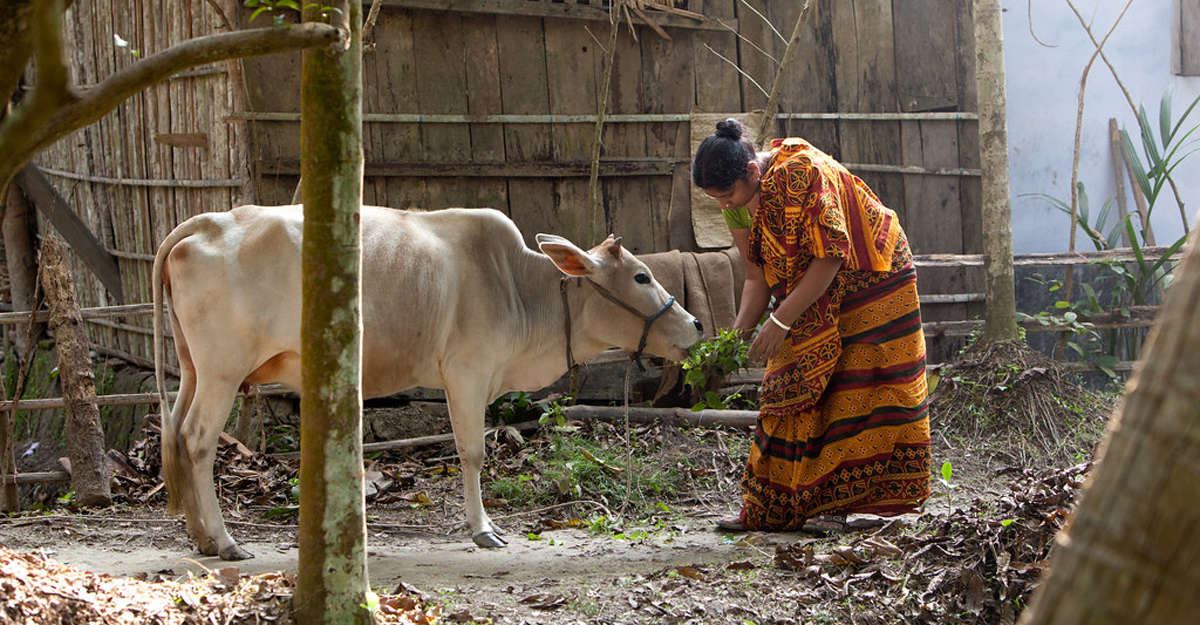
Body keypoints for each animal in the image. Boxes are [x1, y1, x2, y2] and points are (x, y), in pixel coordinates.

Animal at [154, 205, 705, 561]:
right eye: (640, 276)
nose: (697, 325)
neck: (518, 286)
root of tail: (209, 221)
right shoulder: (467, 371)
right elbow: (472, 451)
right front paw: (483, 530)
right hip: (223, 371)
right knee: (198, 441)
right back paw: (226, 542)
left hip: (193, 370)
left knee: (176, 435)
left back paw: (202, 538)